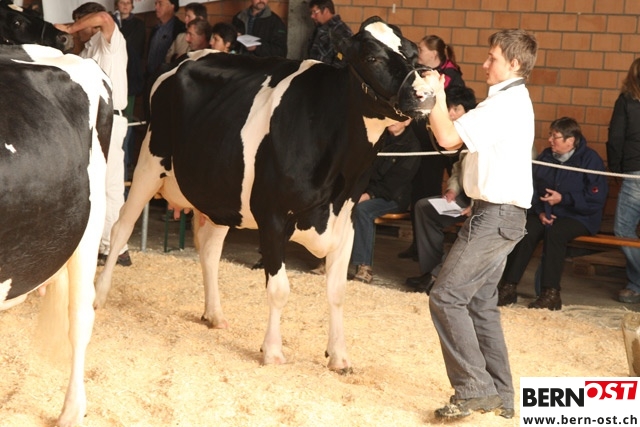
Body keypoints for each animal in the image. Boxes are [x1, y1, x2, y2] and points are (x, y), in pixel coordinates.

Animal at [95, 16, 435, 373]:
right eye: (371, 57)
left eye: (412, 53)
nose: (425, 94)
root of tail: (186, 57)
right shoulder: (272, 216)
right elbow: (279, 289)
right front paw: (272, 351)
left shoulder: (347, 219)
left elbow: (338, 290)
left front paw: (339, 356)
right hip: (149, 161)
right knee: (120, 229)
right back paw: (99, 297)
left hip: (221, 192)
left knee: (209, 249)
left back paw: (214, 314)